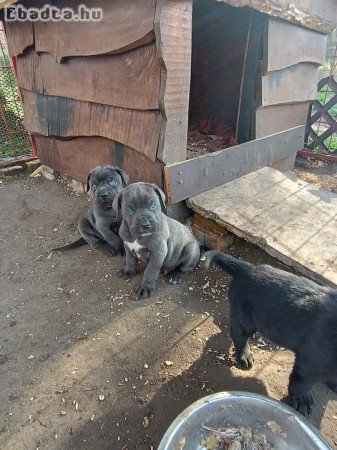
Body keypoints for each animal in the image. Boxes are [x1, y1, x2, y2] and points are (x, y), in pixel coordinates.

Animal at [201, 250, 334, 414]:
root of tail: (248, 268)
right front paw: (302, 402)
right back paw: (244, 355)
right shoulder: (311, 362)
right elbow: (302, 384)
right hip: (246, 319)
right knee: (238, 335)